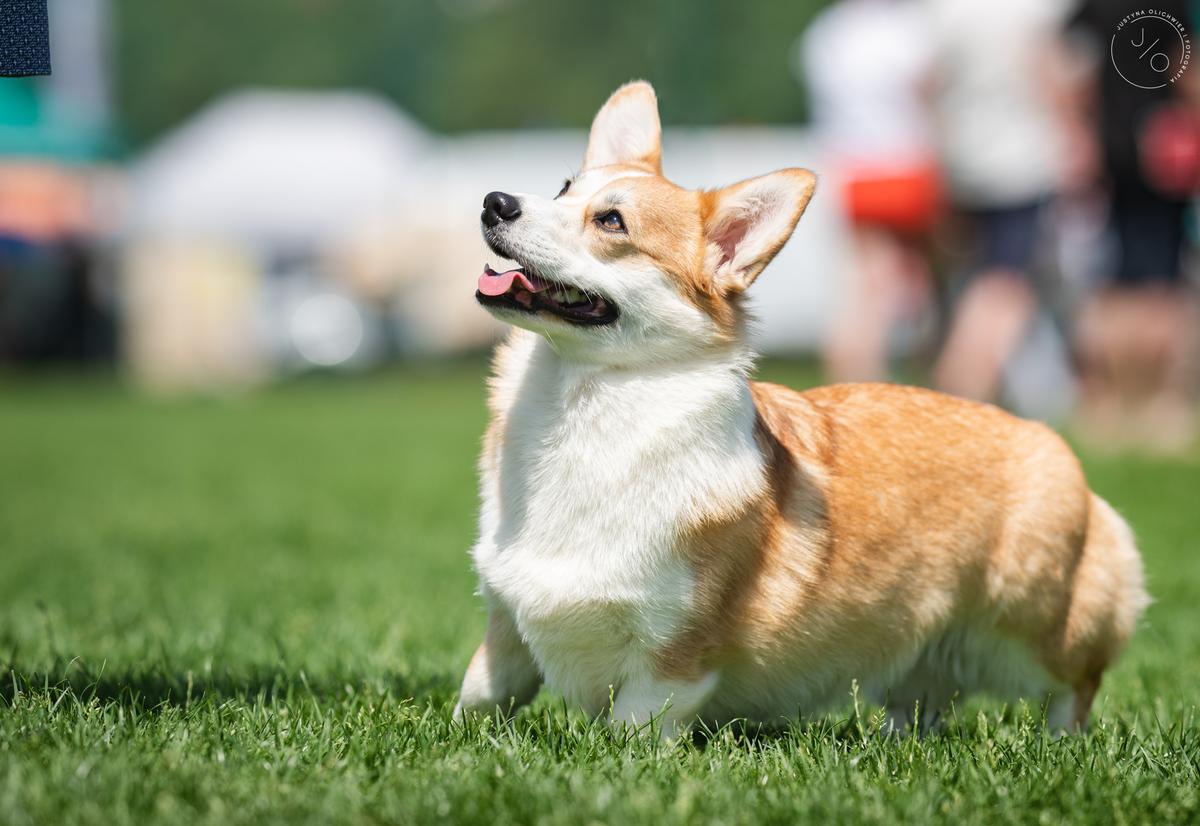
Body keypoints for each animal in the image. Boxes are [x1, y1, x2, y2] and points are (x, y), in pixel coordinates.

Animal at [453, 80, 1147, 734]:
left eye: (612, 223)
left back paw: (1061, 743)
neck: (584, 401)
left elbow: (633, 729)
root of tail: (1051, 443)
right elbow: (482, 693)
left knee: (1075, 686)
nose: (495, 201)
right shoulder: (506, 626)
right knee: (920, 702)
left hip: (1033, 623)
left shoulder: (673, 658)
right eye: (563, 188)